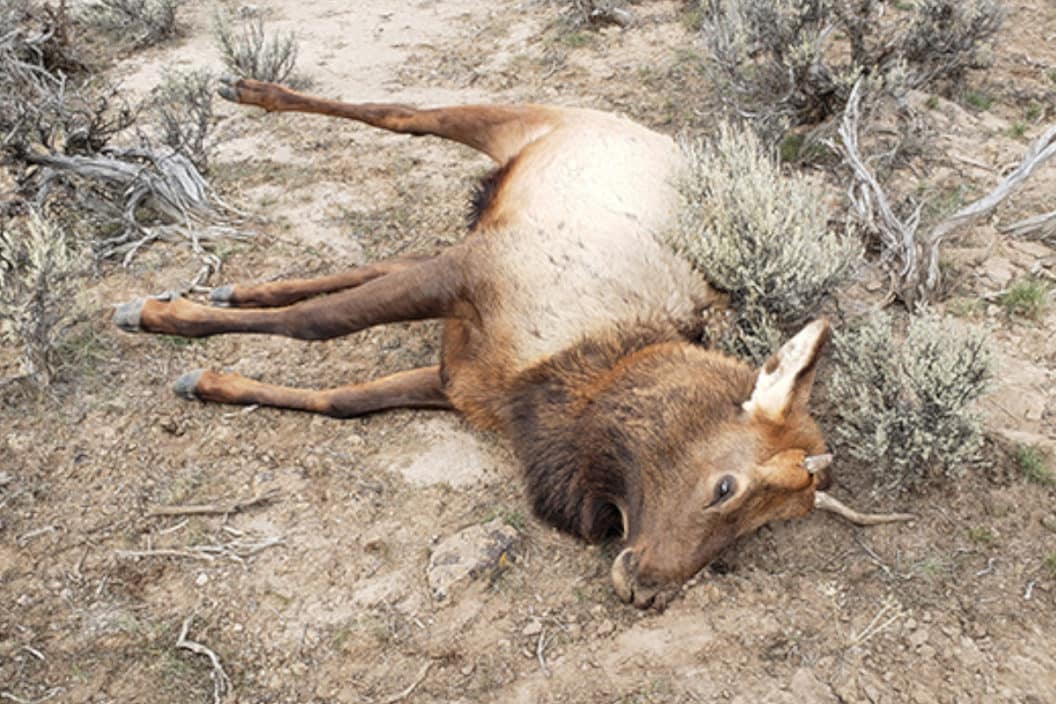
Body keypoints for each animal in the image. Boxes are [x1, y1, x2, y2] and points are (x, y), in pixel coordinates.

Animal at [111, 75, 912, 607]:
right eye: (726, 487)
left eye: (759, 532)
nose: (649, 588)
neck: (568, 379)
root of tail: (657, 135)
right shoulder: (473, 273)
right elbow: (320, 325)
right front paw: (158, 318)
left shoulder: (458, 378)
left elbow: (343, 399)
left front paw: (205, 376)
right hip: (517, 124)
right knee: (401, 113)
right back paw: (245, 91)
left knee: (383, 253)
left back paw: (234, 287)